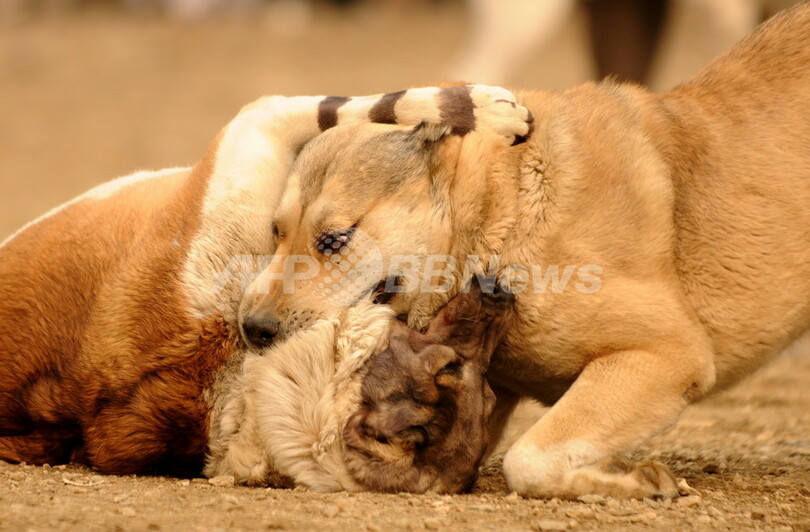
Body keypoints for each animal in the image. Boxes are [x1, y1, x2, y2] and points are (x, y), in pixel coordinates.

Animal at [0, 84, 532, 482]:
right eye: (452, 368)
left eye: (489, 400)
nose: (497, 292)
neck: (235, 383)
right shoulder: (251, 135)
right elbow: (330, 105)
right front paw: (483, 109)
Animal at [237, 3, 808, 498]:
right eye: (276, 233)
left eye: (334, 239)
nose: (252, 329)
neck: (504, 211)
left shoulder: (668, 353)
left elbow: (529, 459)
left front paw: (629, 482)